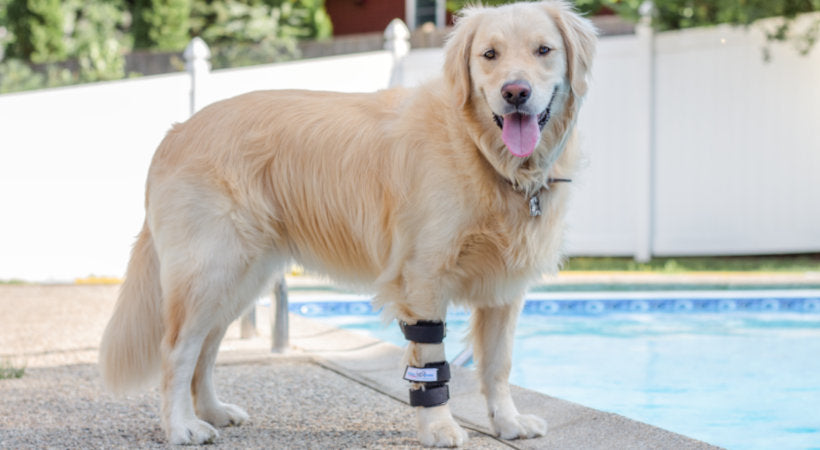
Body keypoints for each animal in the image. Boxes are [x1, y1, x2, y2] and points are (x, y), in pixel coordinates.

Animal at [99, 1, 596, 446]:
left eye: (543, 50)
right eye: (489, 55)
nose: (515, 92)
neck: (480, 150)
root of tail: (176, 131)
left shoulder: (504, 290)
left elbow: (497, 365)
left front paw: (508, 423)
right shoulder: (422, 278)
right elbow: (432, 366)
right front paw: (439, 428)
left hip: (240, 278)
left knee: (205, 349)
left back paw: (213, 412)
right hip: (211, 270)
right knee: (177, 350)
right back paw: (181, 427)